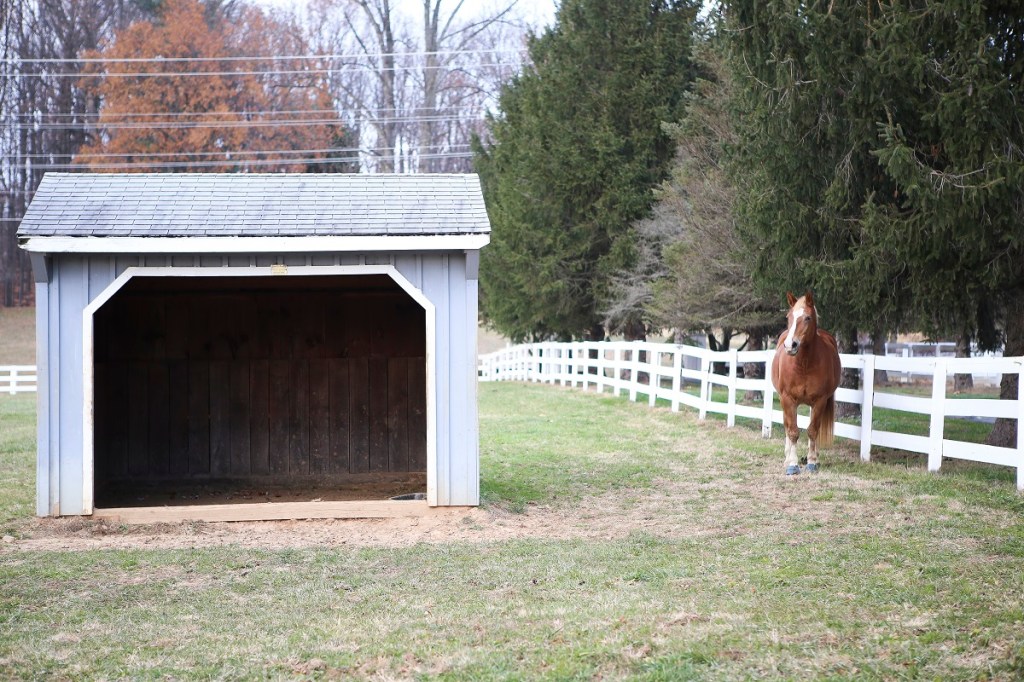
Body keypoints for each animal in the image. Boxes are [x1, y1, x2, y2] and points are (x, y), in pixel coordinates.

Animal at [770, 290, 842, 475]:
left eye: (808, 317)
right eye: (788, 316)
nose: (791, 345)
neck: (804, 365)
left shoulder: (820, 401)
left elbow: (812, 430)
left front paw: (811, 462)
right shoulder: (787, 399)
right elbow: (793, 431)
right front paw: (792, 464)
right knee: (787, 426)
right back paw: (787, 457)